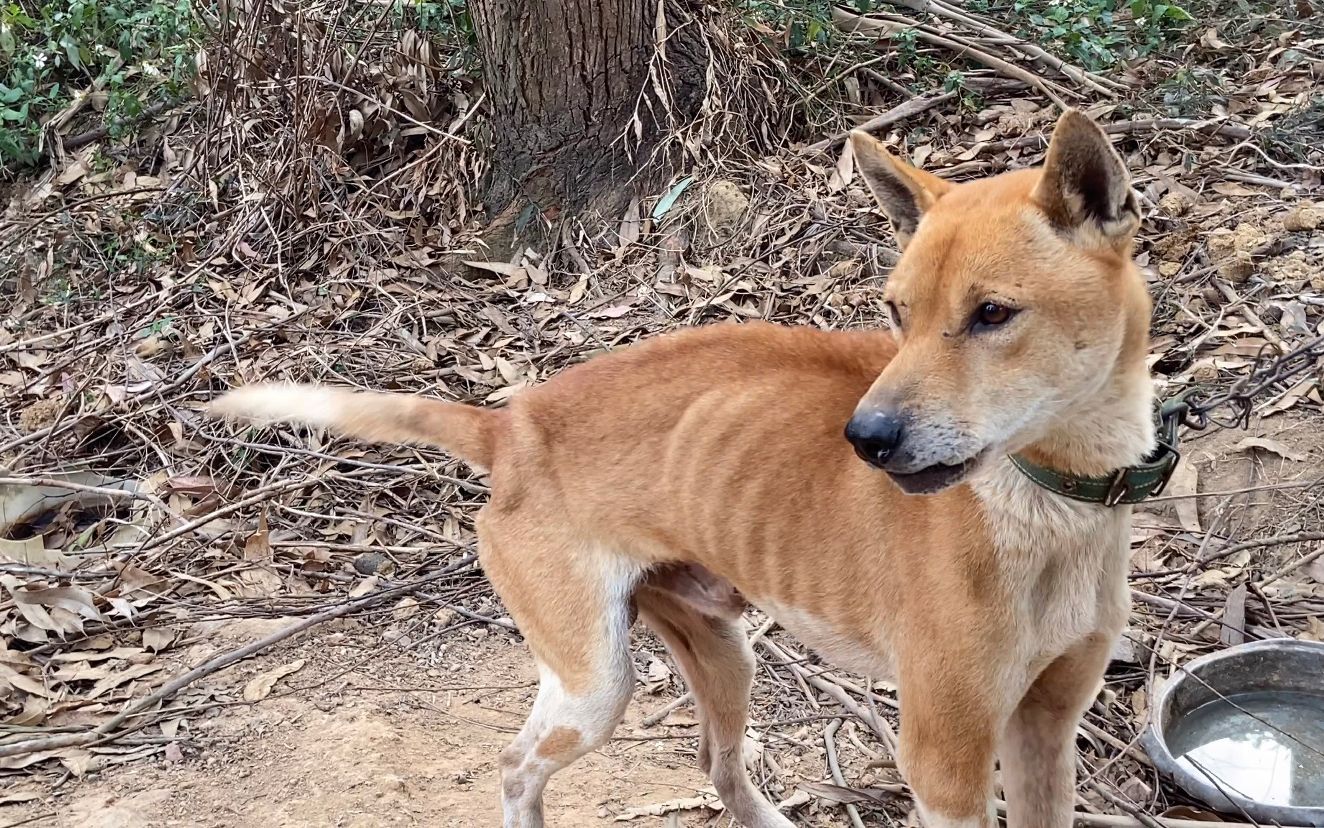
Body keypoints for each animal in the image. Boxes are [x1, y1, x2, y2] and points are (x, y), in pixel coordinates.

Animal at [211, 109, 1154, 826]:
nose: (865, 438)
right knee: (517, 767)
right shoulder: (944, 759)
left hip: (723, 650)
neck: (1054, 504)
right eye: (897, 312)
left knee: (718, 763)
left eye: (993, 314)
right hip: (594, 687)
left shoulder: (1046, 731)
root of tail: (510, 424)